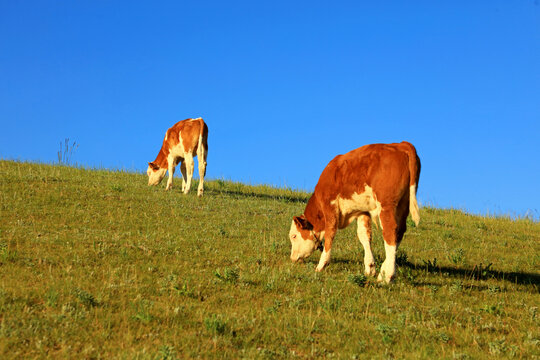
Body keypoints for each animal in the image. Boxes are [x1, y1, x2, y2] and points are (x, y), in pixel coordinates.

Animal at [288, 141, 420, 284]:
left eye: (294, 236)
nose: (292, 258)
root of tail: (401, 144)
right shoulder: (363, 211)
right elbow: (364, 236)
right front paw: (370, 267)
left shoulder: (330, 206)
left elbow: (330, 233)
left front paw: (321, 265)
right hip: (404, 204)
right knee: (399, 233)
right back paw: (383, 271)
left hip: (386, 204)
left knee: (390, 232)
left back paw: (388, 276)